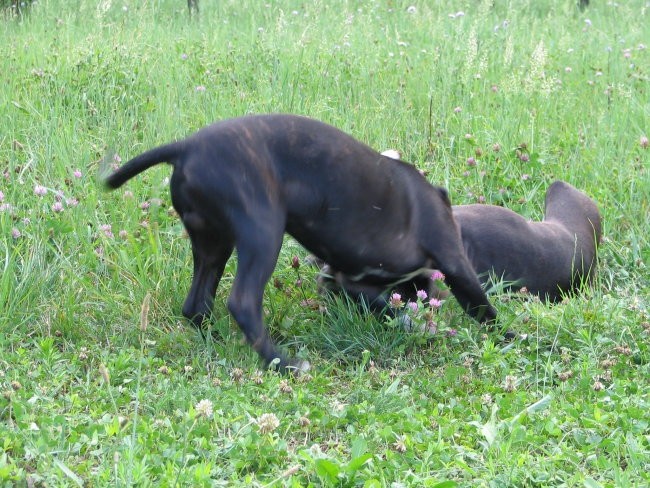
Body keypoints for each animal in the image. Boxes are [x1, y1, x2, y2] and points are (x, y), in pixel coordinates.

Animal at [104, 114, 494, 372]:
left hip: (213, 245)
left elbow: (384, 304)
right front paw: (504, 338)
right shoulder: (453, 260)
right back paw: (284, 363)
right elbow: (484, 309)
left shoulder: (351, 281)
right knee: (243, 303)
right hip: (262, 234)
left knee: (196, 305)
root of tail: (186, 147)